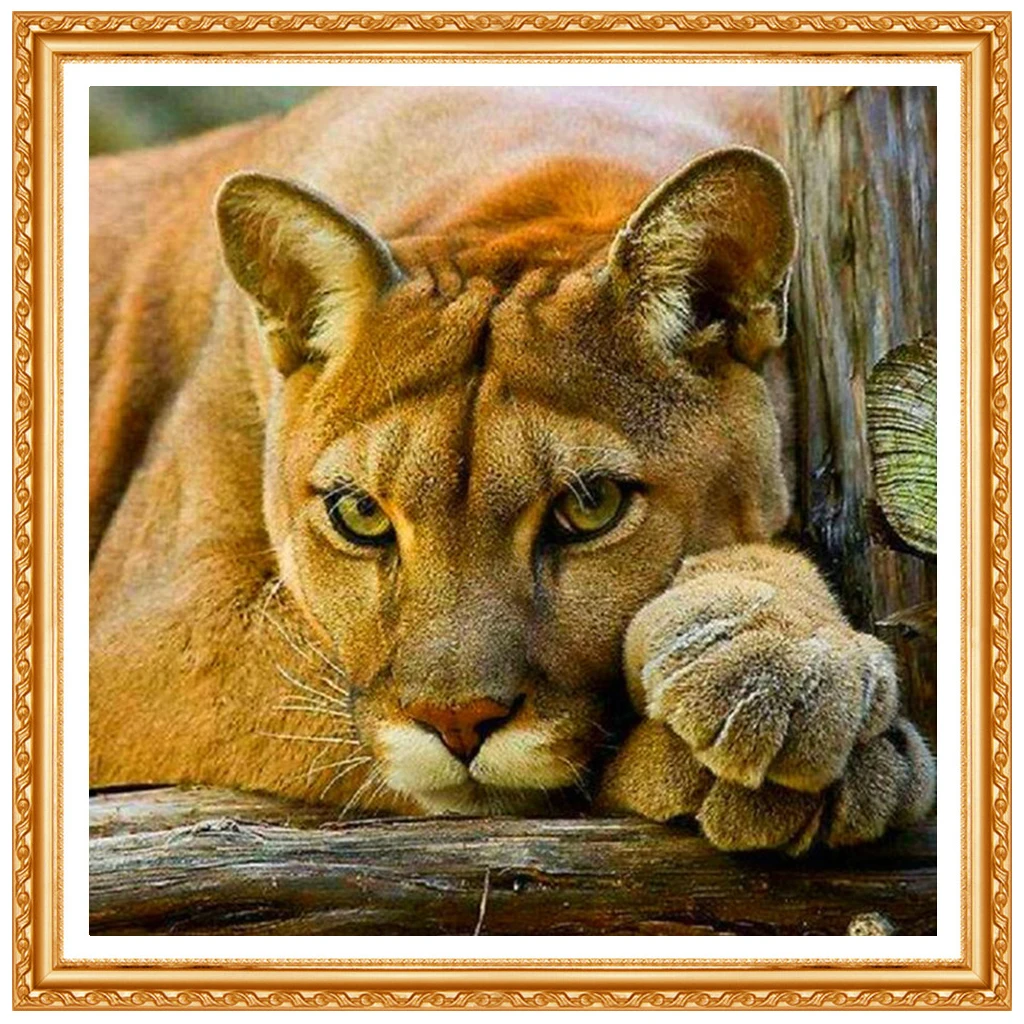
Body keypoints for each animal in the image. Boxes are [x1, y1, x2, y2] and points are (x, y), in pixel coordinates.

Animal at [90, 87, 935, 853]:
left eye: (590, 507)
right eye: (359, 515)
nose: (457, 722)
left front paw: (776, 649)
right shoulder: (153, 629)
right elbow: (320, 697)